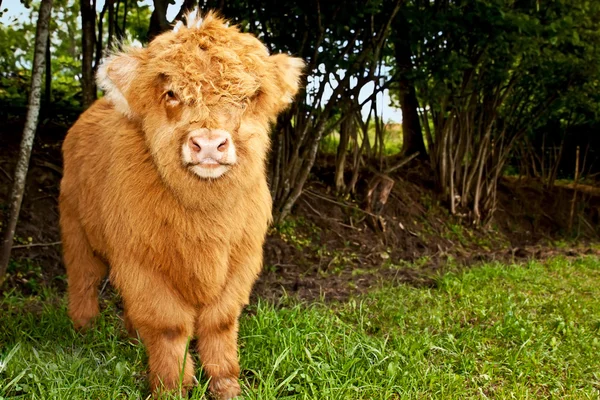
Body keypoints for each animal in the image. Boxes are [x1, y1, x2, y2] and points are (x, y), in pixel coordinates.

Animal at [60, 10, 302, 398]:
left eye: (246, 97)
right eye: (172, 93)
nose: (209, 144)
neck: (205, 215)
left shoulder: (240, 262)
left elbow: (219, 323)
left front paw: (226, 385)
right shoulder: (142, 263)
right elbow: (168, 327)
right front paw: (170, 386)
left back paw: (131, 338)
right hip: (75, 227)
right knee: (83, 277)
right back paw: (83, 327)